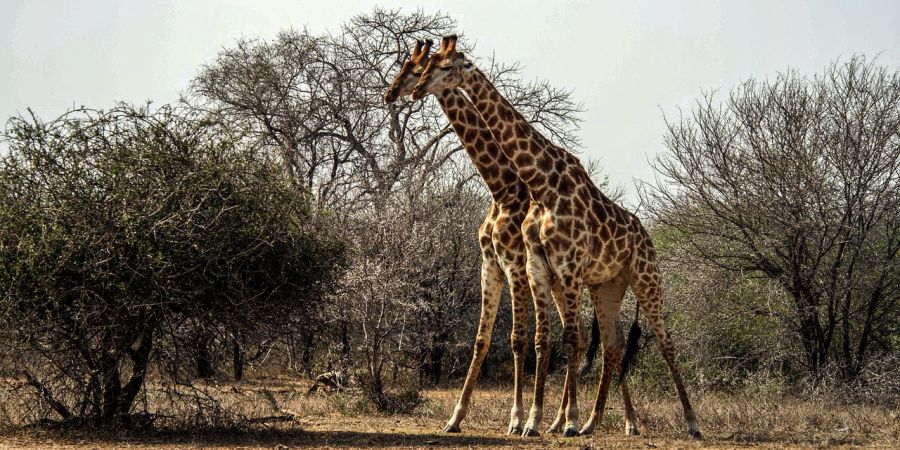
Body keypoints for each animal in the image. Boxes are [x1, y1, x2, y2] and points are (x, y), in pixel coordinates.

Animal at [384, 39, 536, 436]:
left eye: (414, 67)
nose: (391, 93)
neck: (502, 188)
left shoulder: (515, 265)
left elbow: (517, 340)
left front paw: (516, 419)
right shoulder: (490, 263)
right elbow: (481, 339)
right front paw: (454, 418)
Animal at [414, 36, 704, 440]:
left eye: (442, 66)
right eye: (424, 65)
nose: (413, 90)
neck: (541, 184)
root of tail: (647, 235)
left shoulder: (561, 267)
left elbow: (567, 339)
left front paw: (557, 420)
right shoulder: (537, 268)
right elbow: (542, 339)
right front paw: (536, 421)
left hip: (647, 278)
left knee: (665, 342)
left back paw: (690, 422)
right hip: (607, 286)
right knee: (612, 344)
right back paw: (599, 422)